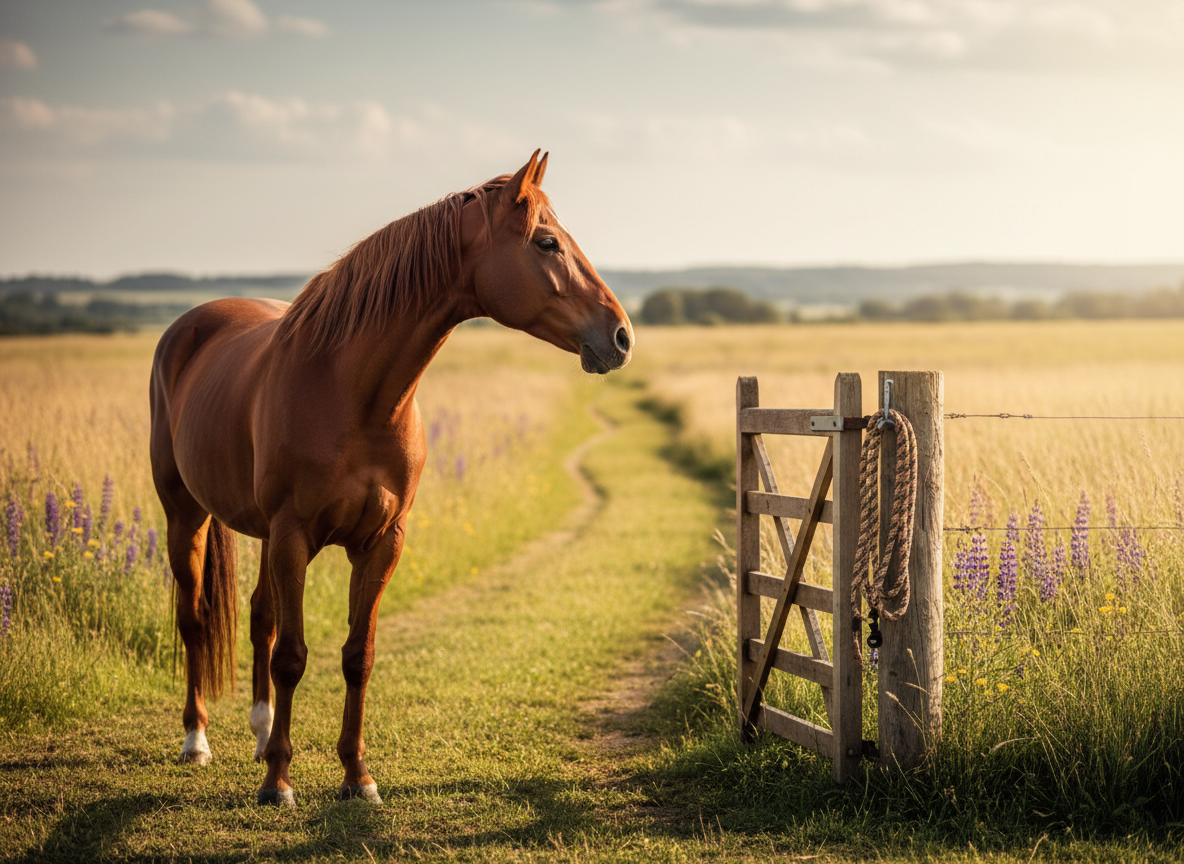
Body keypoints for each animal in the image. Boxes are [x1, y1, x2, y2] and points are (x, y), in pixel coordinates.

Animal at [149, 151, 633, 806]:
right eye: (547, 241)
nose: (621, 336)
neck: (353, 392)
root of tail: (193, 324)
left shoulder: (381, 541)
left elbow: (358, 655)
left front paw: (357, 776)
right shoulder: (294, 535)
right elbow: (293, 657)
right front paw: (279, 783)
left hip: (261, 535)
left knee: (258, 618)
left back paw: (261, 734)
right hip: (188, 516)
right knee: (195, 620)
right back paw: (197, 741)